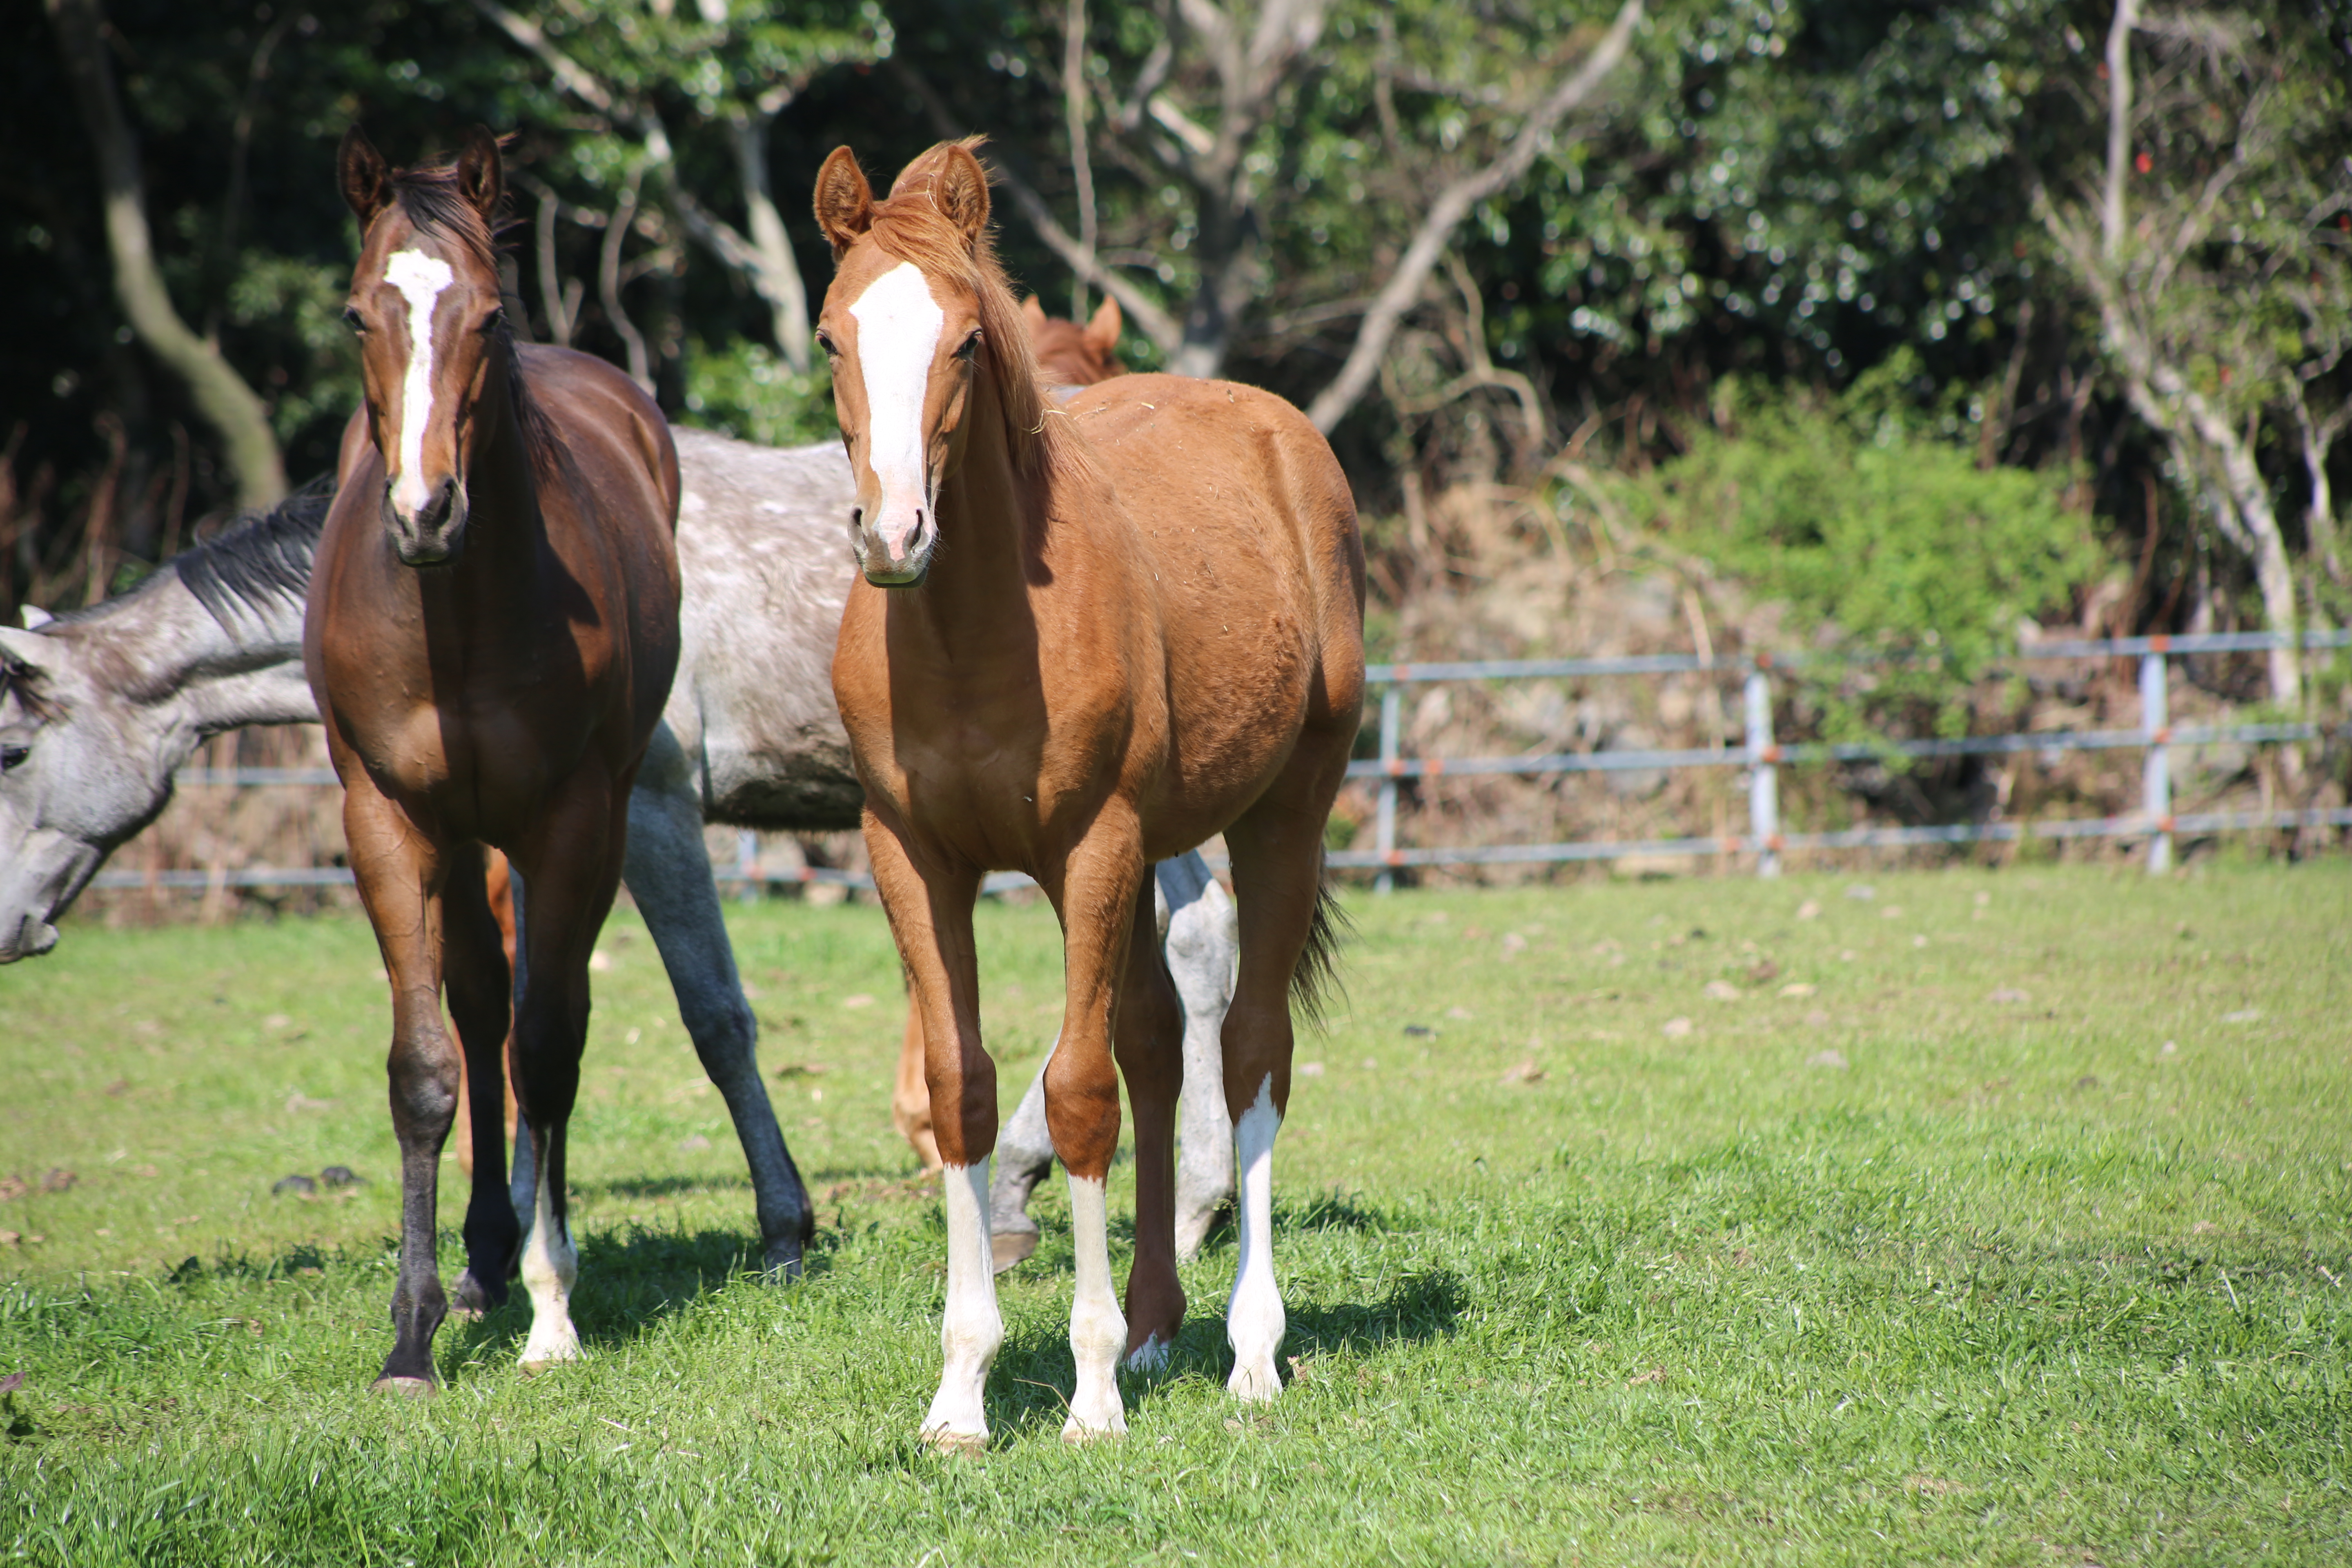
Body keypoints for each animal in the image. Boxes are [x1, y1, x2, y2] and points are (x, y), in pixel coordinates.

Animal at [0, 432, 1242, 1278]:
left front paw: (782, 1227)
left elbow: (713, 1018)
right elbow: (512, 1021)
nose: (10, 927)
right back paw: (1164, 1199)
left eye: (12, 747)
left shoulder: (646, 811)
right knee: (1193, 944)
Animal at [305, 129, 682, 1392]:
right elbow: (426, 1066)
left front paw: (554, 1308)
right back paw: (476, 1262)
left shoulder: (570, 821)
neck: (455, 612)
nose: (425, 511)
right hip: (459, 834)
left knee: (529, 1024)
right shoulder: (385, 816)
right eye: (359, 314)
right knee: (475, 1012)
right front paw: (412, 1333)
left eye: (486, 316)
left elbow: (550, 1048)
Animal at [813, 141, 1364, 1457]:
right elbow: (963, 1089)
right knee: (1159, 1046)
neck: (970, 633)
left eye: (967, 341)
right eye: (829, 337)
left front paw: (1093, 1389)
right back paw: (1163, 1324)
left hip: (1282, 813)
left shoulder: (1092, 844)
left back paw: (1249, 1350)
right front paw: (962, 1392)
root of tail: (1281, 433)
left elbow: (1074, 1095)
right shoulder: (910, 853)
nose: (893, 533)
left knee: (1250, 1051)